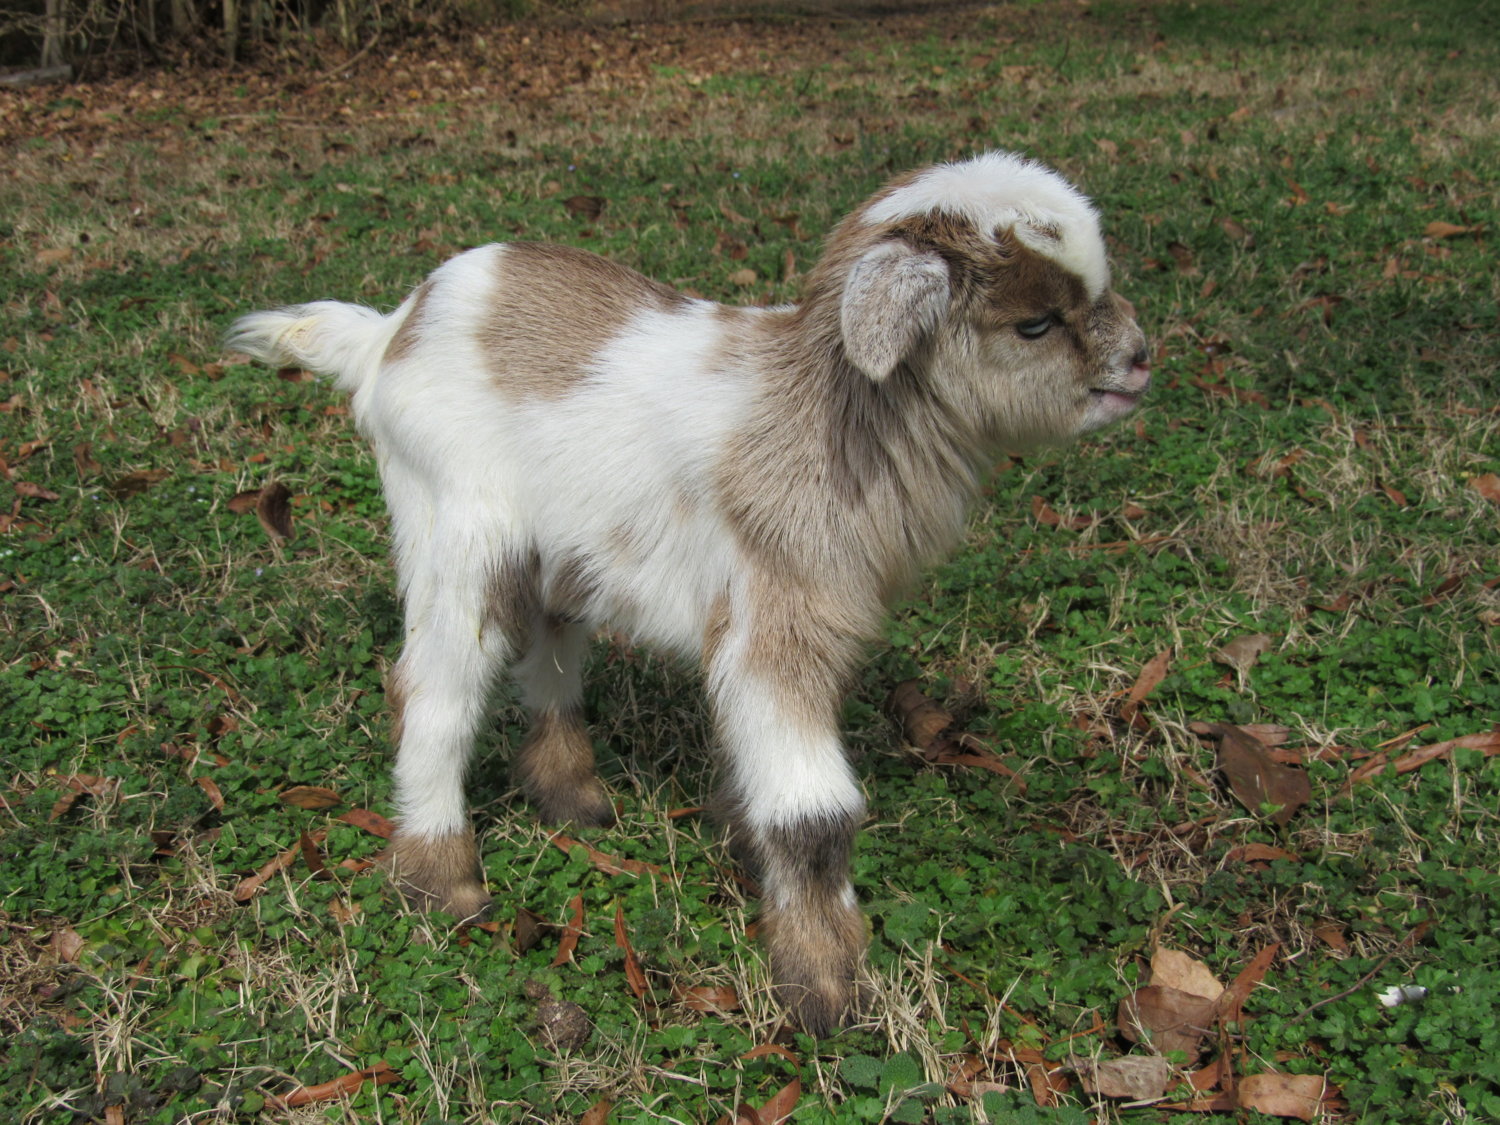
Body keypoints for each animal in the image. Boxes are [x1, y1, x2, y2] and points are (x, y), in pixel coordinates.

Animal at [228, 152, 1152, 1038]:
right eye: (1035, 321)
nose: (1142, 358)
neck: (821, 418)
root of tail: (391, 329)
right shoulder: (775, 622)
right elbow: (815, 816)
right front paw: (826, 990)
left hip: (562, 546)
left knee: (549, 645)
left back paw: (572, 796)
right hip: (455, 521)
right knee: (434, 686)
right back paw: (442, 881)